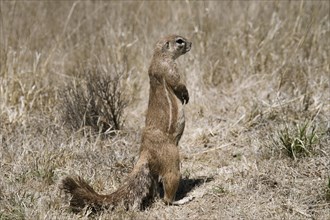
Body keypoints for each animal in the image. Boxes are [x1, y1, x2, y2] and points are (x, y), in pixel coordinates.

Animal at [60, 35, 192, 212]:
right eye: (179, 41)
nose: (191, 43)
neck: (158, 57)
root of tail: (145, 152)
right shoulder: (170, 69)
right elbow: (178, 84)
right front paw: (186, 96)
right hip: (172, 161)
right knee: (167, 194)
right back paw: (181, 199)